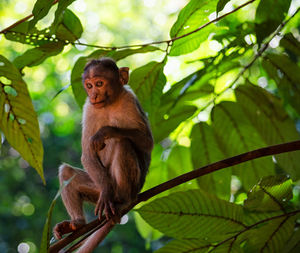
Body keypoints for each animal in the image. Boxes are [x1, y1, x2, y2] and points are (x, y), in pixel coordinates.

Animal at [52, 57, 154, 245]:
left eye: (99, 83)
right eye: (89, 85)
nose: (93, 95)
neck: (110, 104)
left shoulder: (131, 100)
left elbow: (147, 142)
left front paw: (105, 132)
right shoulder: (89, 108)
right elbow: (87, 155)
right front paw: (106, 191)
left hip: (130, 187)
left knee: (122, 143)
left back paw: (123, 200)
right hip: (96, 189)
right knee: (67, 172)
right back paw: (77, 223)